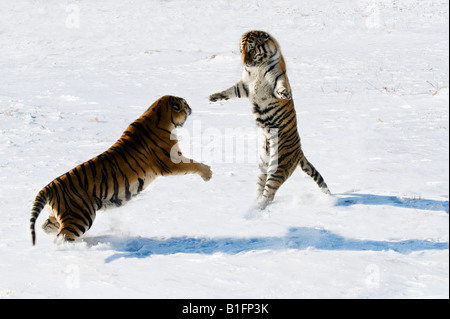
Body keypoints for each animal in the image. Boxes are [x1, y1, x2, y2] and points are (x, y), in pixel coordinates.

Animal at [30, 95, 213, 245]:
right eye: (184, 104)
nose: (190, 107)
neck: (158, 115)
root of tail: (49, 187)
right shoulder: (172, 161)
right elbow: (193, 164)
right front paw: (208, 173)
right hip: (79, 217)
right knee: (62, 238)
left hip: (63, 215)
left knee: (46, 227)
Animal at [208, 30, 330, 210]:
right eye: (241, 50)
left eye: (251, 48)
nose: (245, 62)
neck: (256, 68)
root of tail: (299, 151)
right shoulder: (244, 85)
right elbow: (230, 90)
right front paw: (214, 96)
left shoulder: (277, 77)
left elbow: (280, 86)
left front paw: (285, 94)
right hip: (263, 164)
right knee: (262, 186)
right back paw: (253, 203)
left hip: (278, 164)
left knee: (270, 192)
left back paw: (257, 207)